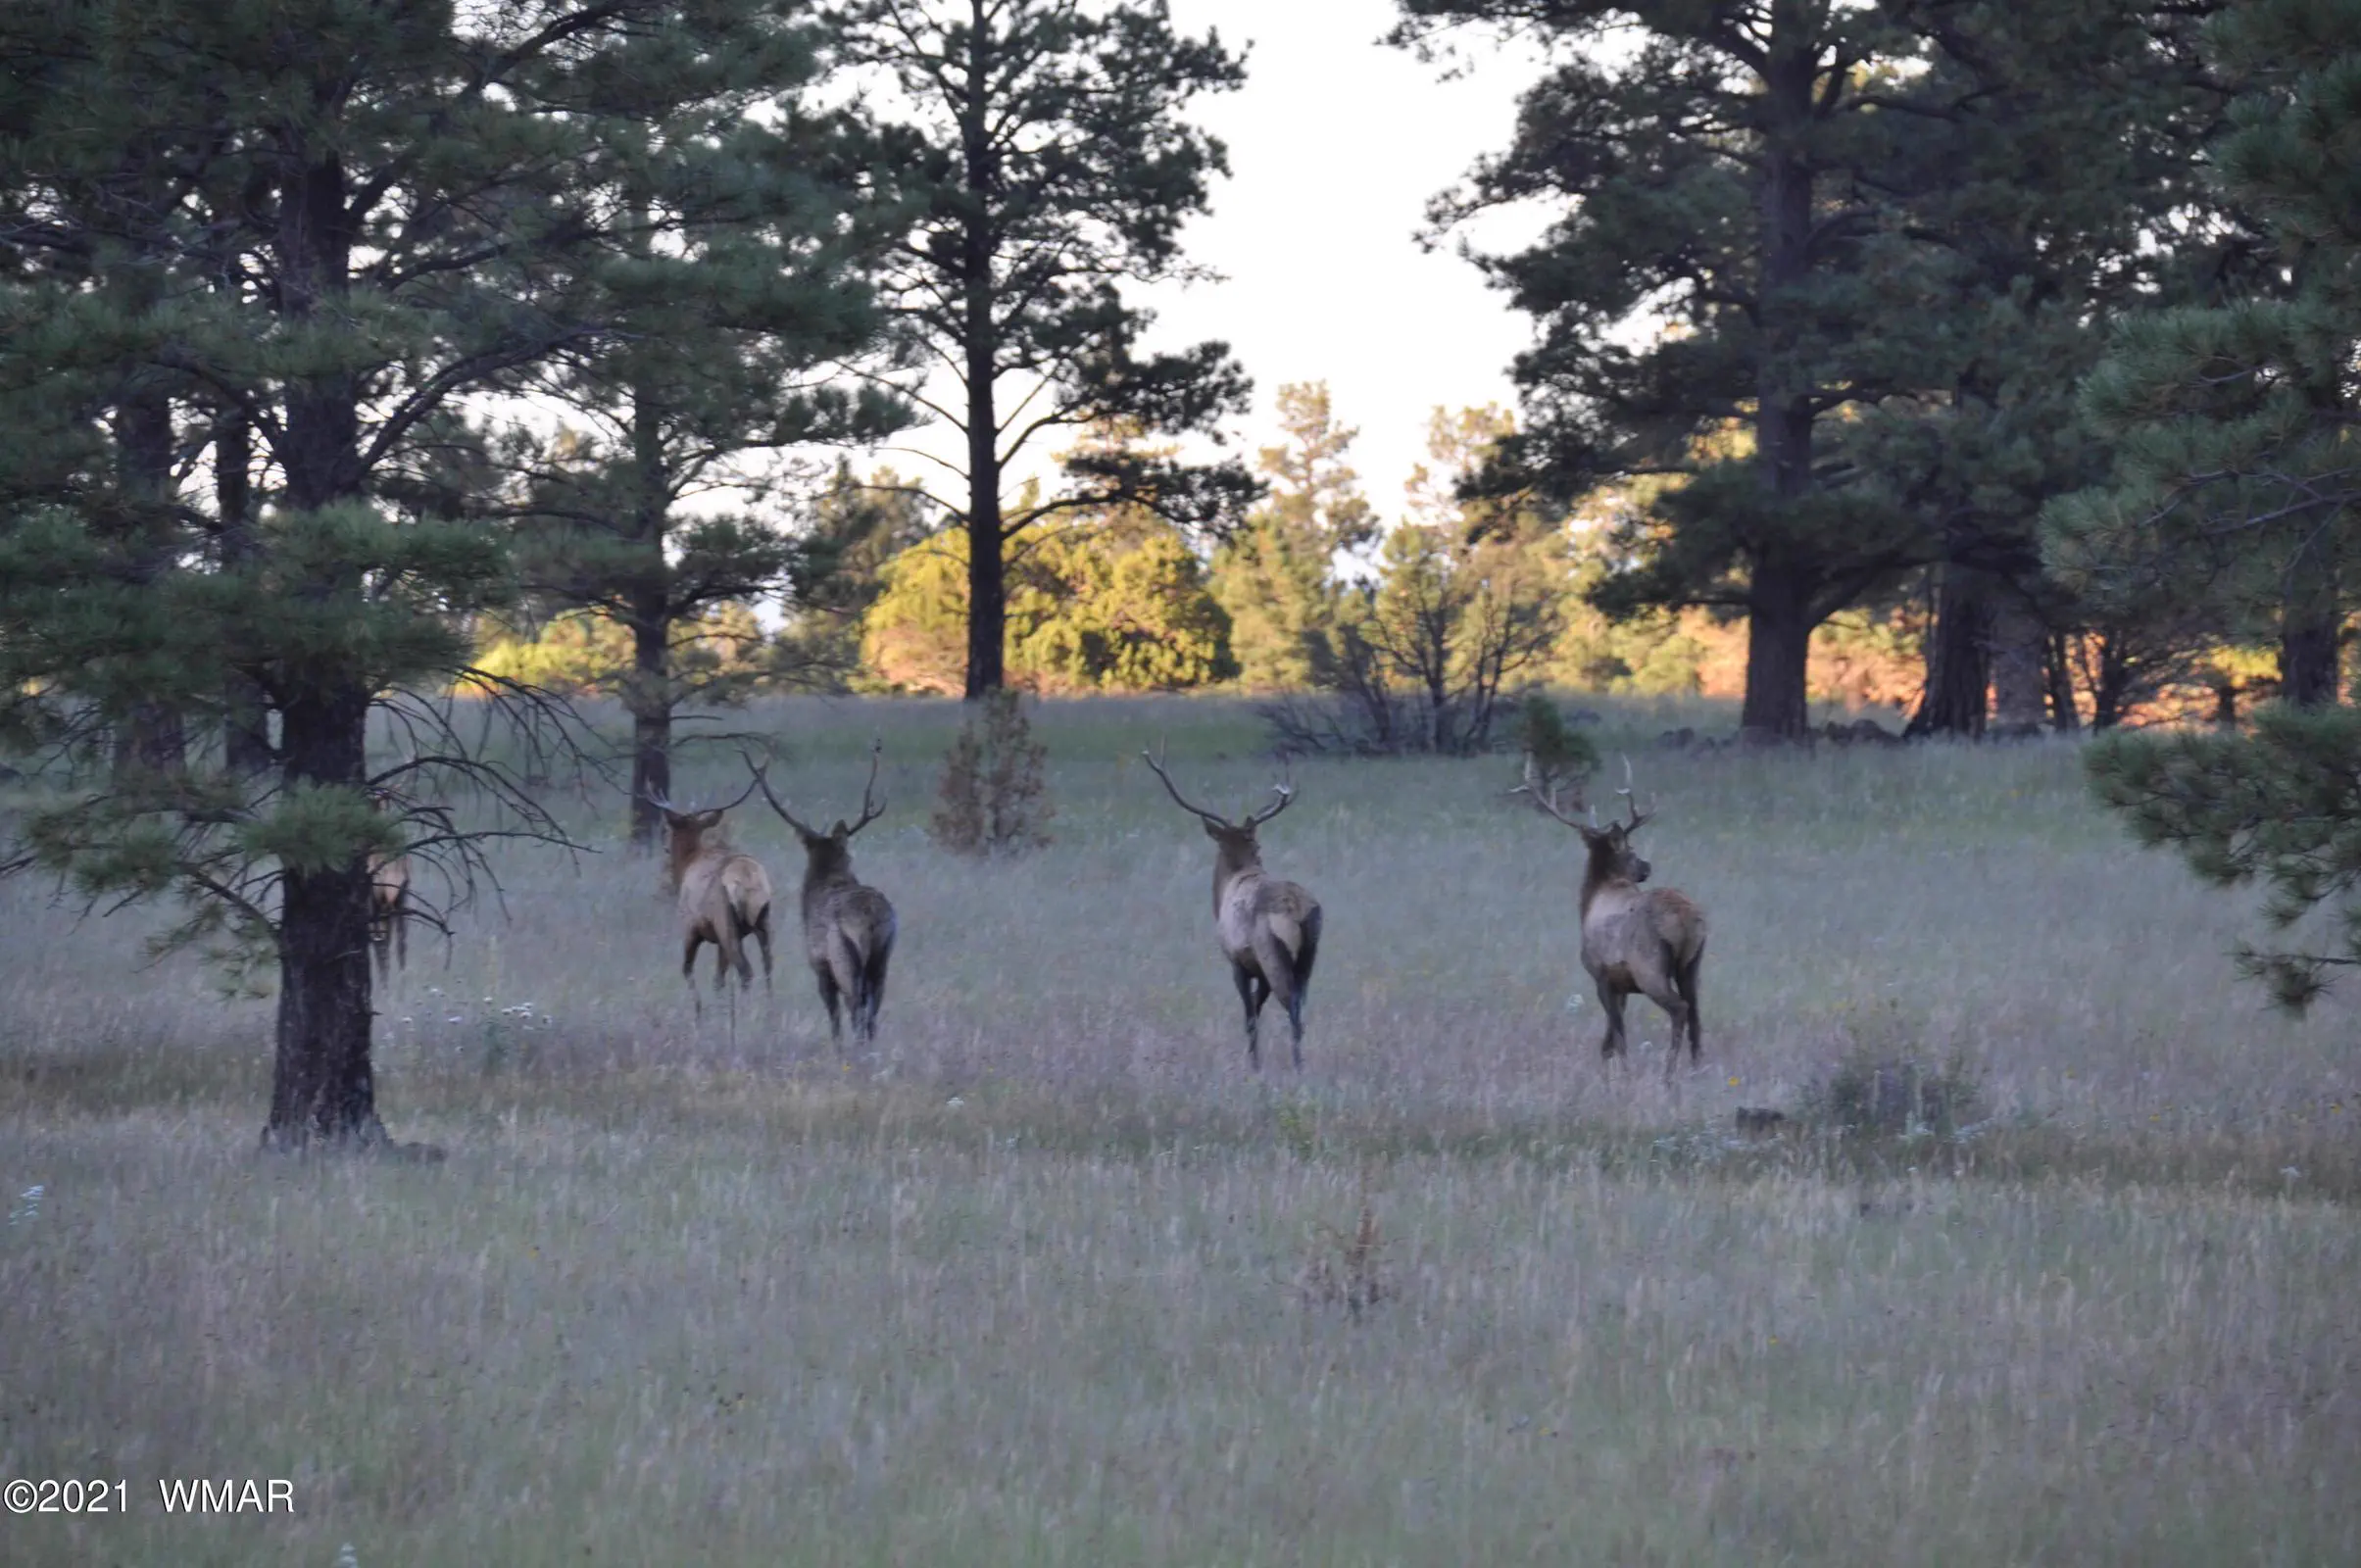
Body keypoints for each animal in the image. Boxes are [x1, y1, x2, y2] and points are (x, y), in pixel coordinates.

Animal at [643, 776, 775, 1016]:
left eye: (669, 830)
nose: (664, 848)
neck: (689, 862)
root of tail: (747, 879)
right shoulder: (719, 941)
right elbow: (718, 979)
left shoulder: (690, 926)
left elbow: (687, 969)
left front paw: (699, 1011)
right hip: (763, 920)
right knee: (768, 967)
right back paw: (770, 1013)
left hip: (726, 923)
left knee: (746, 971)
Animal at [744, 742, 897, 1046]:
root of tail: (871, 921)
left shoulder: (819, 964)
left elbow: (834, 1018)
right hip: (883, 955)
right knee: (873, 1011)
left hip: (842, 957)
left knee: (855, 1008)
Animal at [1142, 743, 1323, 1071]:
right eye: (1258, 844)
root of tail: (1299, 911)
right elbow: (1256, 1011)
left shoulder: (1237, 960)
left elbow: (1250, 1017)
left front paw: (1253, 1064)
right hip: (1309, 954)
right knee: (1301, 1003)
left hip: (1272, 953)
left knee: (1292, 1008)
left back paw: (1298, 1067)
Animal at [1516, 755, 1707, 1078]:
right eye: (1631, 849)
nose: (1646, 866)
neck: (1592, 899)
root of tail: (1686, 918)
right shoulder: (1620, 985)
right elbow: (1607, 1041)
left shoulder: (1601, 974)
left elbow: (1616, 1037)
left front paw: (1622, 1077)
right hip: (1692, 964)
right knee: (1695, 1013)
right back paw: (1695, 1070)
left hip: (1649, 966)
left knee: (1679, 1008)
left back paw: (1667, 1075)